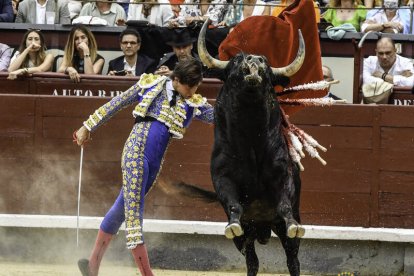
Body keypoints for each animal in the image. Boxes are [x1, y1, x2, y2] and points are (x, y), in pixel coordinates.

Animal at [192, 20, 306, 274]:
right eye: (236, 60)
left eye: (266, 62)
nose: (254, 61)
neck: (252, 136)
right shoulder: (223, 178)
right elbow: (233, 205)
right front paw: (232, 224)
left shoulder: (283, 175)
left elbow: (285, 205)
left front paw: (293, 223)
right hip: (248, 236)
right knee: (252, 260)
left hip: (284, 233)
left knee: (293, 260)